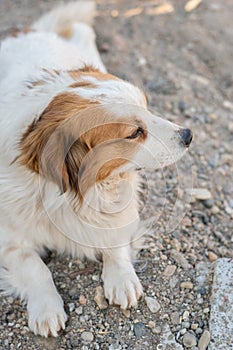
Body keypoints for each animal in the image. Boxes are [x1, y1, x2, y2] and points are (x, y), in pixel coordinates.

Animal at [0, 1, 193, 338]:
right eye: (135, 133)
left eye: (148, 107)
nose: (188, 135)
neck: (68, 194)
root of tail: (28, 32)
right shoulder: (7, 239)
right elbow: (35, 267)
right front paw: (46, 308)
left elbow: (114, 237)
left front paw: (121, 279)